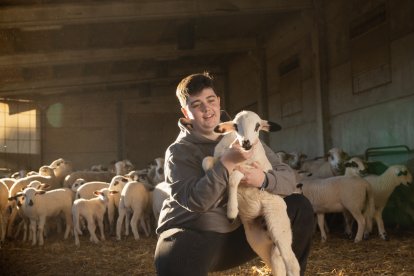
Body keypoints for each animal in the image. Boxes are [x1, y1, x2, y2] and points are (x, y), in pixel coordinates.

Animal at [202, 110, 300, 276]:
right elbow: (206, 162)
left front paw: (231, 211)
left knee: (292, 264)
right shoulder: (219, 162)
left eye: (257, 126)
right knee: (277, 265)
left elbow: (233, 178)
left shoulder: (250, 170)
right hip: (259, 242)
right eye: (236, 126)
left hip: (279, 225)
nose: (246, 143)